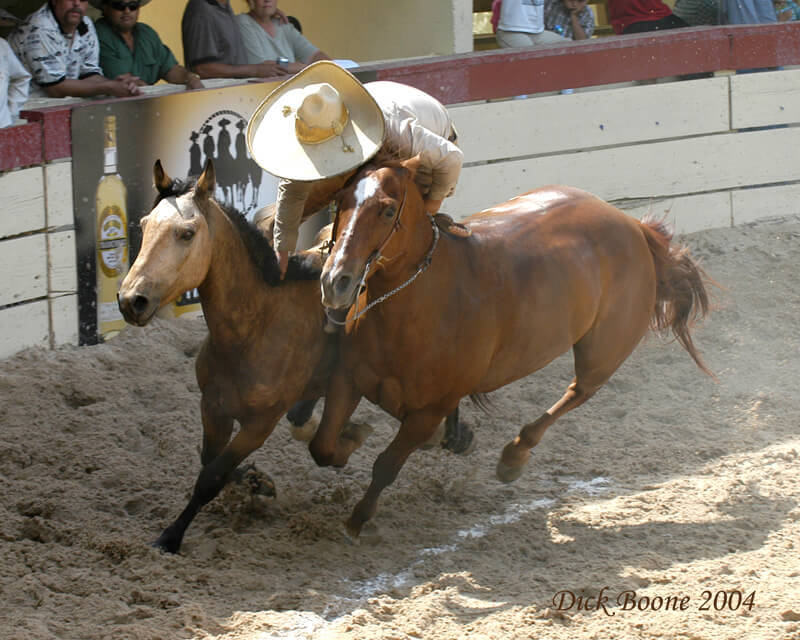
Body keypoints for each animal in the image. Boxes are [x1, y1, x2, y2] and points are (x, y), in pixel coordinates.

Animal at [318, 154, 712, 540]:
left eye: (387, 210)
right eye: (341, 200)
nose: (336, 281)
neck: (420, 302)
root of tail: (633, 227)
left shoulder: (429, 410)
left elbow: (386, 465)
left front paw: (358, 520)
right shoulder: (346, 379)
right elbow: (323, 446)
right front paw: (353, 441)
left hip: (603, 354)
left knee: (577, 392)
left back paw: (514, 455)